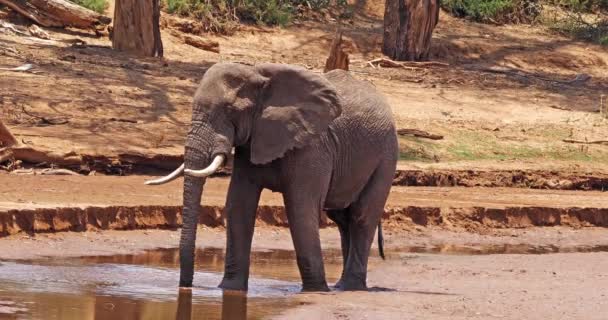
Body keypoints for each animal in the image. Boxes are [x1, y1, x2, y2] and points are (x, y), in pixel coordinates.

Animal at [147, 62, 400, 292]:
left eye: (230, 111)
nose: (186, 287)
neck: (258, 75)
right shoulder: (251, 141)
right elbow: (239, 204)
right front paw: (229, 288)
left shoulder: (312, 146)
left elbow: (300, 208)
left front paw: (315, 290)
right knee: (342, 219)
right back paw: (341, 286)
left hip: (386, 155)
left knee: (361, 217)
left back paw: (349, 287)